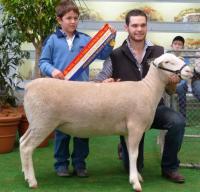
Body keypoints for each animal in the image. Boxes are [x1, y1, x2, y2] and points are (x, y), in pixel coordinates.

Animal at [19, 52, 192, 190]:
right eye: (167, 62)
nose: (190, 71)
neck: (148, 90)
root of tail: (29, 87)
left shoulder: (128, 130)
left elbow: (131, 154)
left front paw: (135, 176)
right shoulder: (136, 126)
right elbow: (134, 154)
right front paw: (135, 183)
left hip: (35, 123)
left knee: (22, 142)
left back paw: (26, 175)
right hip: (43, 122)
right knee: (27, 147)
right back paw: (32, 181)